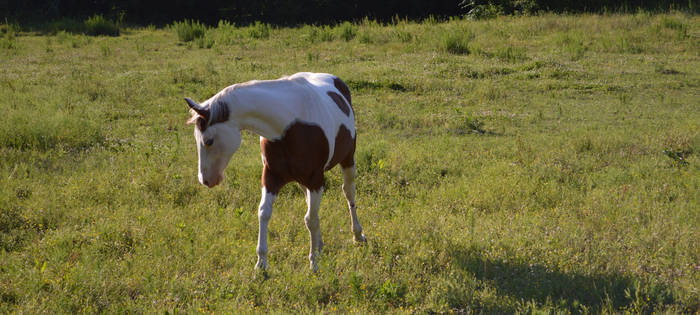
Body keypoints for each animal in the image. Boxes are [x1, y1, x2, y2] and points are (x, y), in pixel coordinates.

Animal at [183, 71, 370, 272]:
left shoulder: (315, 179)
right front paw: (261, 263)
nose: (205, 180)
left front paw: (313, 264)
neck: (288, 126)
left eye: (208, 141)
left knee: (348, 193)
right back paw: (320, 245)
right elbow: (265, 213)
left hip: (347, 160)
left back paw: (358, 235)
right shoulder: (271, 177)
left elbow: (311, 219)